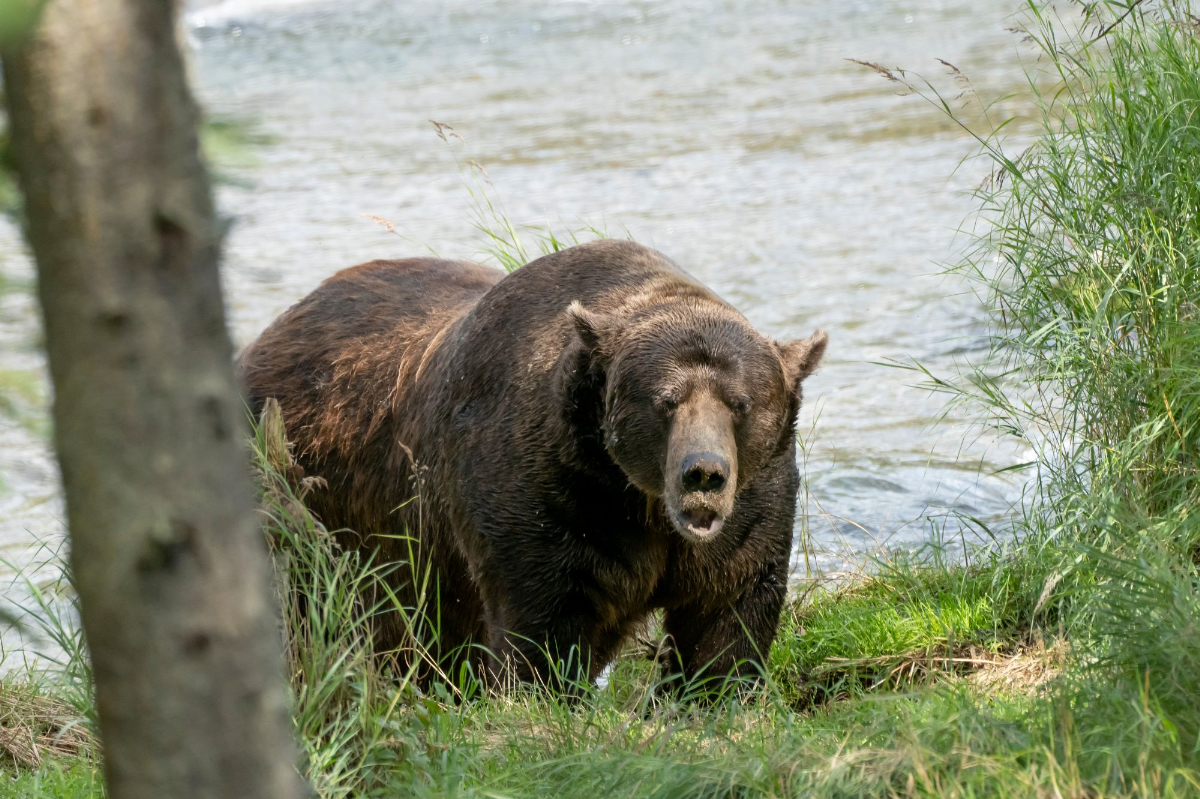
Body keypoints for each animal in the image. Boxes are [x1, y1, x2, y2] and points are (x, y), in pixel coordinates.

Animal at [238, 239, 826, 690]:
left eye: (739, 403)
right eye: (666, 401)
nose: (703, 473)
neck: (640, 502)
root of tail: (266, 333)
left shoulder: (749, 505)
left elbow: (727, 609)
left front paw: (712, 693)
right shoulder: (549, 491)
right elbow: (543, 618)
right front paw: (547, 694)